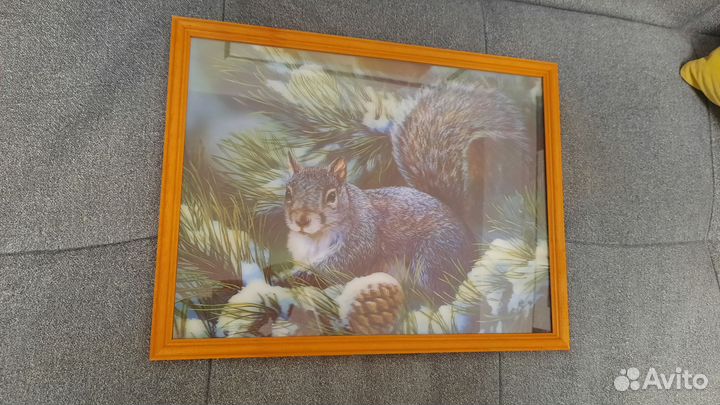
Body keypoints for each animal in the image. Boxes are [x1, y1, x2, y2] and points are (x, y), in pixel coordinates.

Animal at [283, 82, 526, 303]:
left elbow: (343, 263)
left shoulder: (362, 236)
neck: (315, 237)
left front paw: (300, 277)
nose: (302, 220)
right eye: (288, 192)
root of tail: (468, 235)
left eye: (331, 196)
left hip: (433, 258)